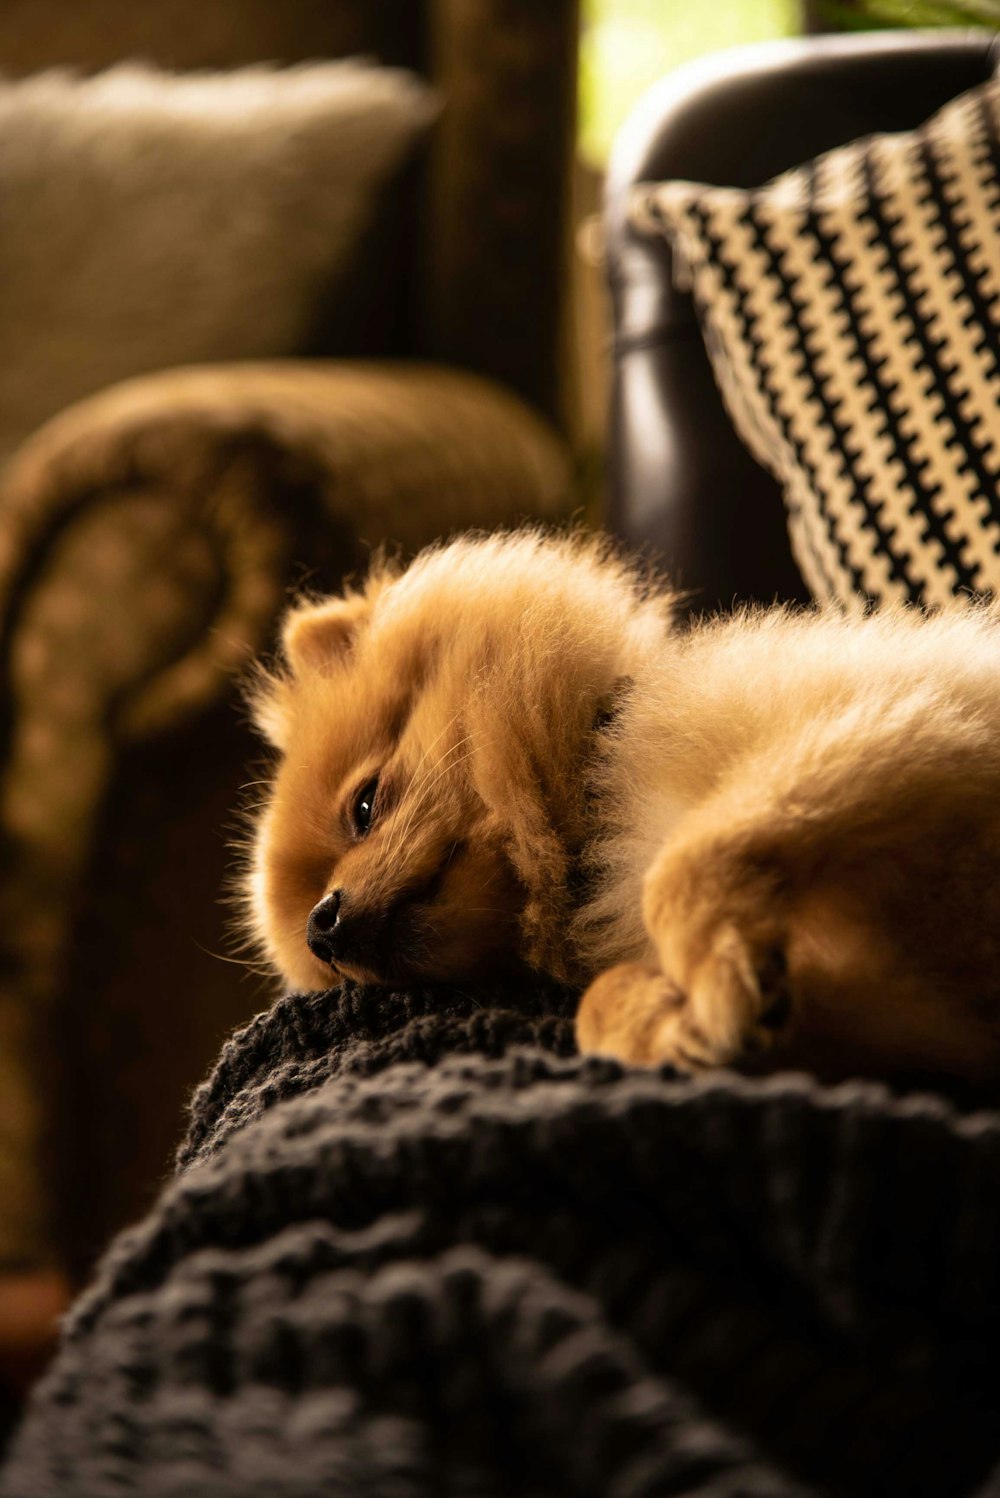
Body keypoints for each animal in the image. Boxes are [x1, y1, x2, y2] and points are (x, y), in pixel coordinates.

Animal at [244, 533, 1000, 1084]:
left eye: (364, 806)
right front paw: (667, 1025)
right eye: (332, 971)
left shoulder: (913, 717)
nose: (321, 925)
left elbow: (681, 864)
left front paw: (715, 972)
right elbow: (594, 1006)